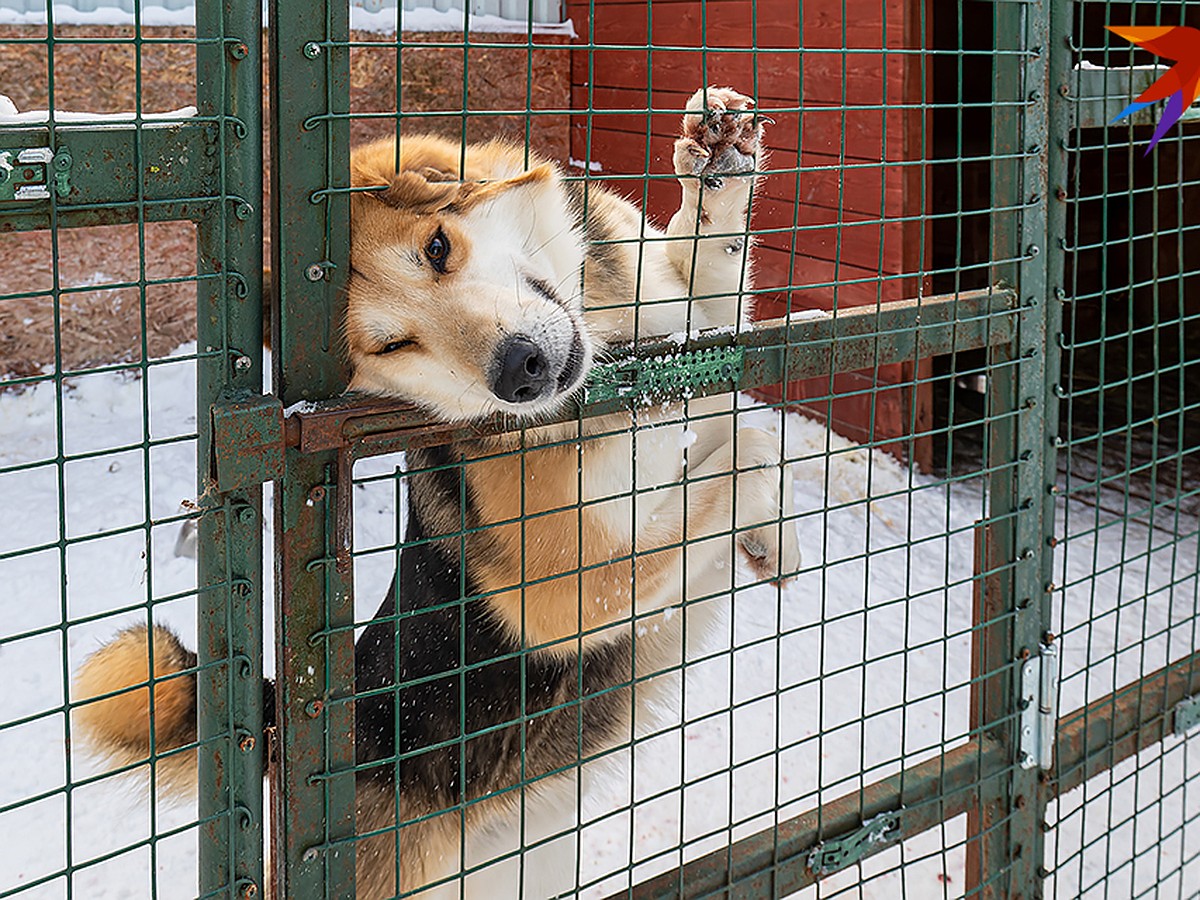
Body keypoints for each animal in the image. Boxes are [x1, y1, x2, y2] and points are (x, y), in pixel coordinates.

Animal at [77, 86, 806, 900]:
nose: (519, 371)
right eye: (393, 346)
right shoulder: (564, 591)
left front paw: (716, 162)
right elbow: (753, 449)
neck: (612, 363)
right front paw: (772, 534)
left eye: (436, 248)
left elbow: (713, 284)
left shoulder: (694, 344)